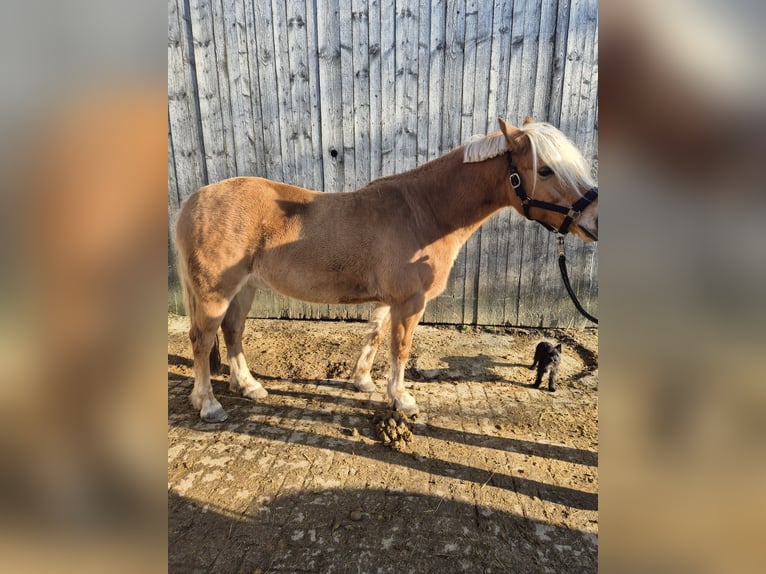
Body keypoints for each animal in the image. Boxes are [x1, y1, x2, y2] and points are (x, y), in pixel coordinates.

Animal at [176, 117, 600, 424]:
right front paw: (402, 399)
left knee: (232, 332)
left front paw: (363, 382)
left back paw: (249, 387)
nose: (594, 219)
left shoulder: (388, 300)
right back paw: (209, 404)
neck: (425, 212)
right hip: (215, 293)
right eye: (545, 170)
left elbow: (376, 337)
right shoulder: (410, 302)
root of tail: (193, 200)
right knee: (202, 339)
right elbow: (401, 347)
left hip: (243, 288)